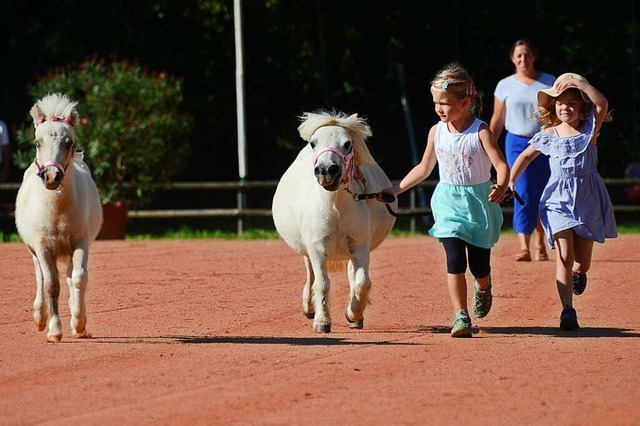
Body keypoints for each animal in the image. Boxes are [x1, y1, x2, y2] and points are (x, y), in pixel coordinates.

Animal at [15, 94, 102, 342]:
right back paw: (39, 317)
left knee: (71, 277)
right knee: (41, 277)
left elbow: (79, 278)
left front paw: (79, 323)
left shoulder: (80, 242)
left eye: (69, 143)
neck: (57, 210)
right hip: (34, 251)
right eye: (37, 143)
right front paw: (54, 330)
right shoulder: (43, 247)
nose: (52, 176)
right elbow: (51, 285)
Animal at [270, 110, 396, 332]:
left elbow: (362, 283)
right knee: (311, 275)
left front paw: (353, 314)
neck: (335, 207)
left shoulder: (360, 246)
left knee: (352, 274)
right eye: (313, 143)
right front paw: (322, 321)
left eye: (347, 144)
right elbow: (322, 283)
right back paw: (309, 307)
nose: (327, 170)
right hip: (308, 251)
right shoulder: (317, 248)